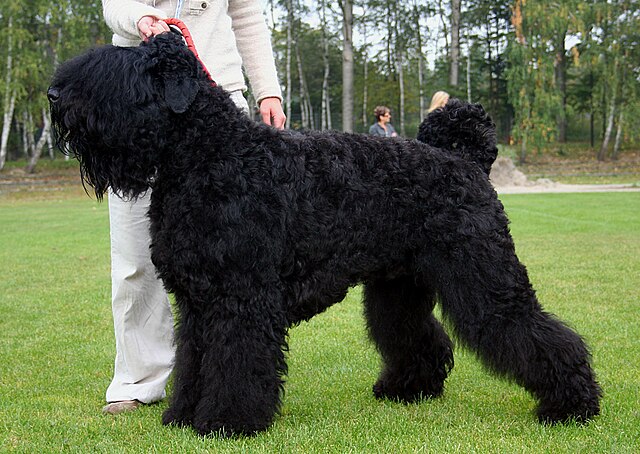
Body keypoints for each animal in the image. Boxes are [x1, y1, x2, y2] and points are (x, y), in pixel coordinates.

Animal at [48, 32, 600, 436]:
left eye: (120, 74)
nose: (54, 96)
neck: (210, 155)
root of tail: (465, 160)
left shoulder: (239, 298)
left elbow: (234, 362)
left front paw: (226, 422)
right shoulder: (199, 301)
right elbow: (192, 360)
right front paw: (182, 415)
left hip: (483, 276)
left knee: (534, 331)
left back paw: (572, 405)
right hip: (398, 287)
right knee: (417, 335)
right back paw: (407, 388)